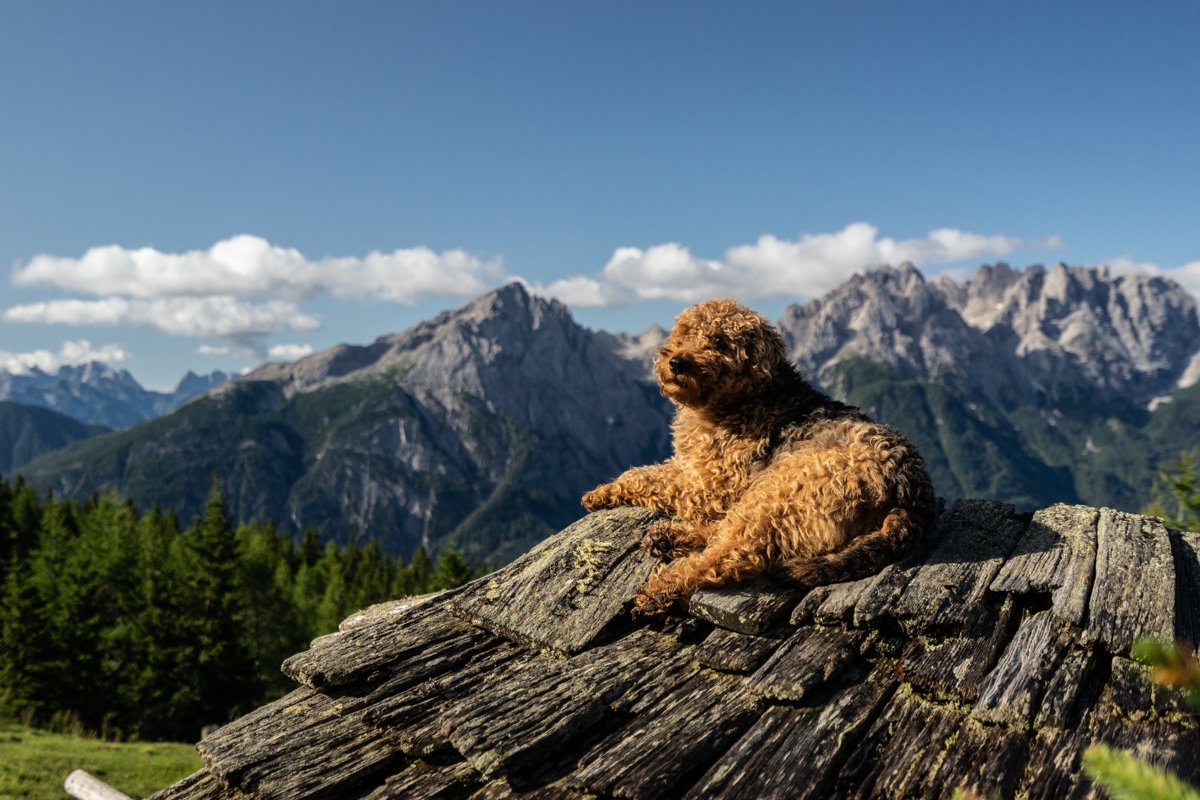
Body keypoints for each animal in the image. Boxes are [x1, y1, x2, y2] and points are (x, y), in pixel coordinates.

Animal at [580, 297, 936, 618]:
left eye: (721, 342)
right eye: (685, 332)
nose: (677, 363)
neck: (740, 401)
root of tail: (913, 494)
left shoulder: (712, 486)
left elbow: (653, 479)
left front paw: (599, 493)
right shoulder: (693, 468)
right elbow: (647, 472)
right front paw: (602, 492)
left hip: (785, 491)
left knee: (733, 553)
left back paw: (663, 589)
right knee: (728, 534)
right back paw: (670, 537)